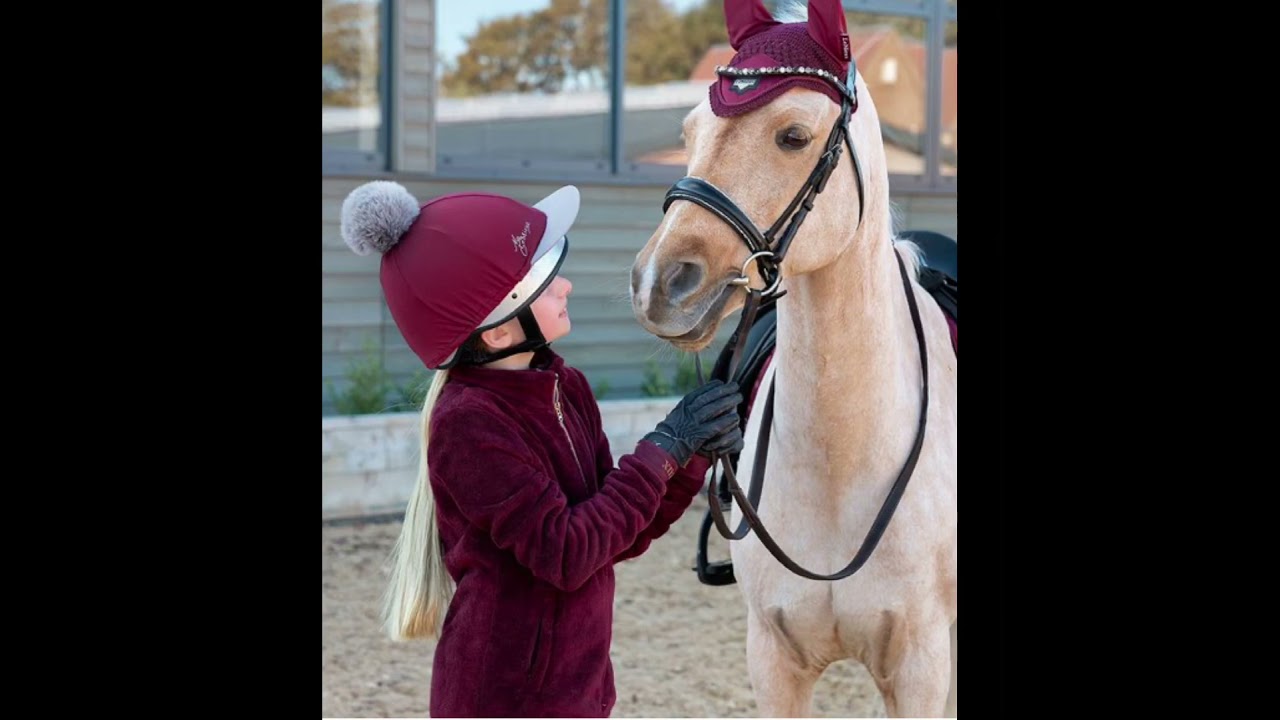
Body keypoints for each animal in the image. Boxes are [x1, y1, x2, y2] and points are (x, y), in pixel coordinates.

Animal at [627, 1, 957, 716]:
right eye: (690, 131)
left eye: (794, 136)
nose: (659, 284)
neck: (841, 461)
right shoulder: (774, 661)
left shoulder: (920, 666)